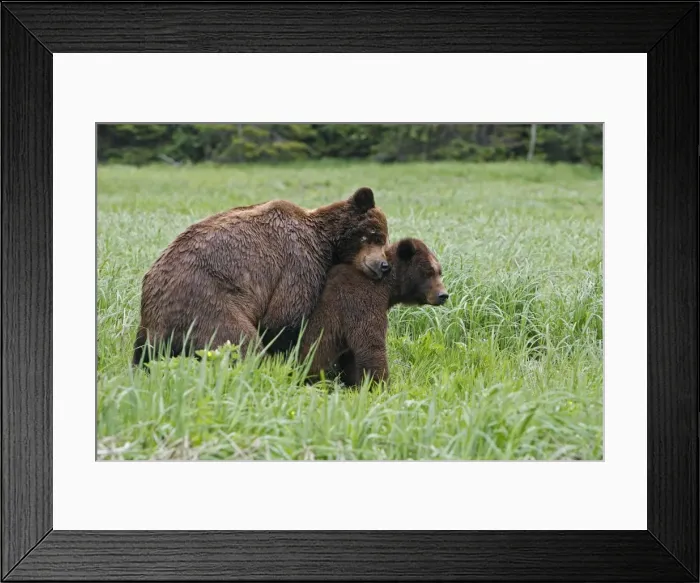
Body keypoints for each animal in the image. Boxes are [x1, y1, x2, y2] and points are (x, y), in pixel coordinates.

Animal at [132, 187, 390, 366]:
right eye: (374, 235)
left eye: (385, 239)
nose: (384, 265)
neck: (325, 242)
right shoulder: (299, 261)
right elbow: (283, 317)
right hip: (206, 303)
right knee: (239, 341)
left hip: (148, 328)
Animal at [299, 237, 448, 386]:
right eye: (428, 272)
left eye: (439, 272)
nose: (443, 295)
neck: (388, 287)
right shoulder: (361, 300)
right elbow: (370, 345)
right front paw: (380, 383)